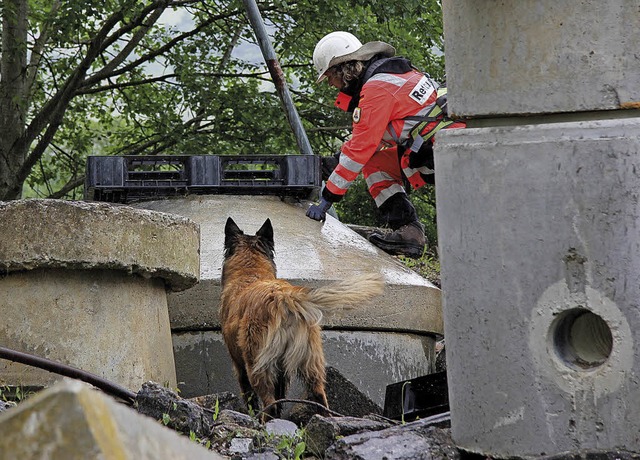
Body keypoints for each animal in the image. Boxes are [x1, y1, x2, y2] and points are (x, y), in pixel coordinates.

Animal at [220, 217, 382, 420]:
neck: (250, 271)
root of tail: (284, 297)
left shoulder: (239, 365)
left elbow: (251, 399)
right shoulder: (282, 371)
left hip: (257, 364)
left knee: (269, 402)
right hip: (310, 363)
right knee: (319, 396)